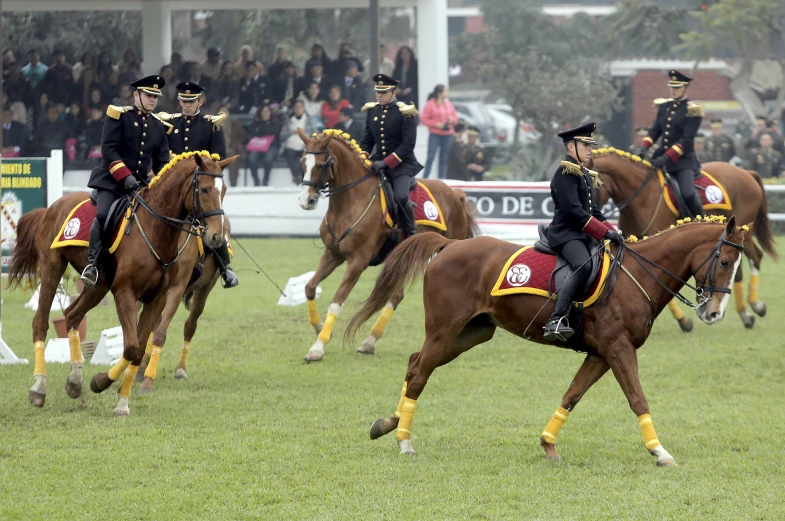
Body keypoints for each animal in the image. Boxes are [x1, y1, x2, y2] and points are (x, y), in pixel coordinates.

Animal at [134, 217, 233, 392]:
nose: (217, 236)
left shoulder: (176, 289)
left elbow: (159, 334)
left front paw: (148, 381)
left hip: (204, 290)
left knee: (190, 326)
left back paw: (180, 369)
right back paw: (141, 368)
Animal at [296, 127, 474, 360]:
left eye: (319, 165)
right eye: (302, 162)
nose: (306, 201)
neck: (350, 201)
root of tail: (455, 194)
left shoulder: (358, 261)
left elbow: (336, 303)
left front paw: (318, 347)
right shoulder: (332, 255)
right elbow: (309, 287)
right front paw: (319, 329)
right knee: (396, 296)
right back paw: (369, 342)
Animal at [348, 213, 748, 466]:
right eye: (725, 262)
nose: (714, 313)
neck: (635, 275)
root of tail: (449, 245)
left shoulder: (600, 355)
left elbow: (571, 396)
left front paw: (548, 445)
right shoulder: (619, 349)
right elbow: (638, 399)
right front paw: (659, 452)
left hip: (469, 334)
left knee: (416, 363)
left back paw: (388, 424)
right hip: (445, 330)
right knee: (419, 373)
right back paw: (404, 441)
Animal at [592, 150, 776, 330]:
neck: (643, 196)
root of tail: (747, 172)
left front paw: (683, 321)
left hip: (742, 230)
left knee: (754, 258)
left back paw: (753, 308)